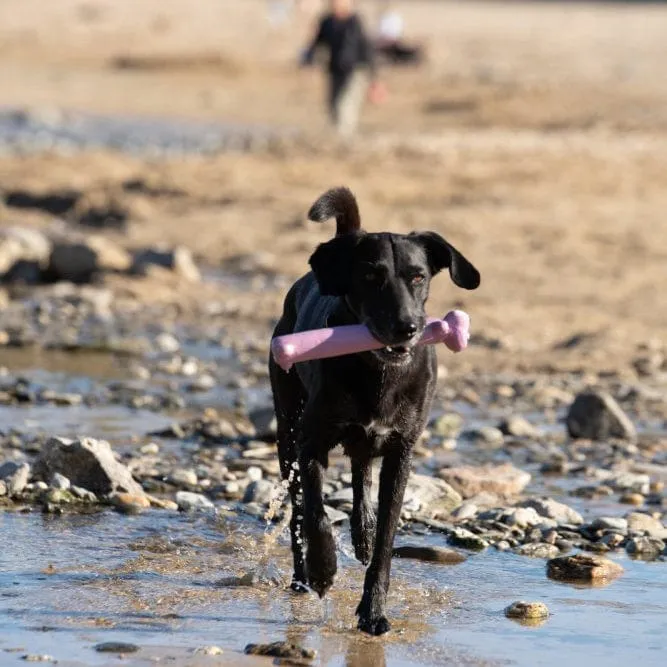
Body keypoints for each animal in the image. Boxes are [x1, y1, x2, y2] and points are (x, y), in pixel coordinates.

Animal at [268, 188, 482, 636]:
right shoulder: (310, 444)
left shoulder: (401, 452)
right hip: (286, 433)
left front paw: (373, 611)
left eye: (418, 276)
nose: (407, 327)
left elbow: (386, 539)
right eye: (370, 277)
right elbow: (315, 515)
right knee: (297, 512)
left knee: (360, 474)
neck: (378, 371)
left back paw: (361, 534)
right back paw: (301, 578)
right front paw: (323, 570)